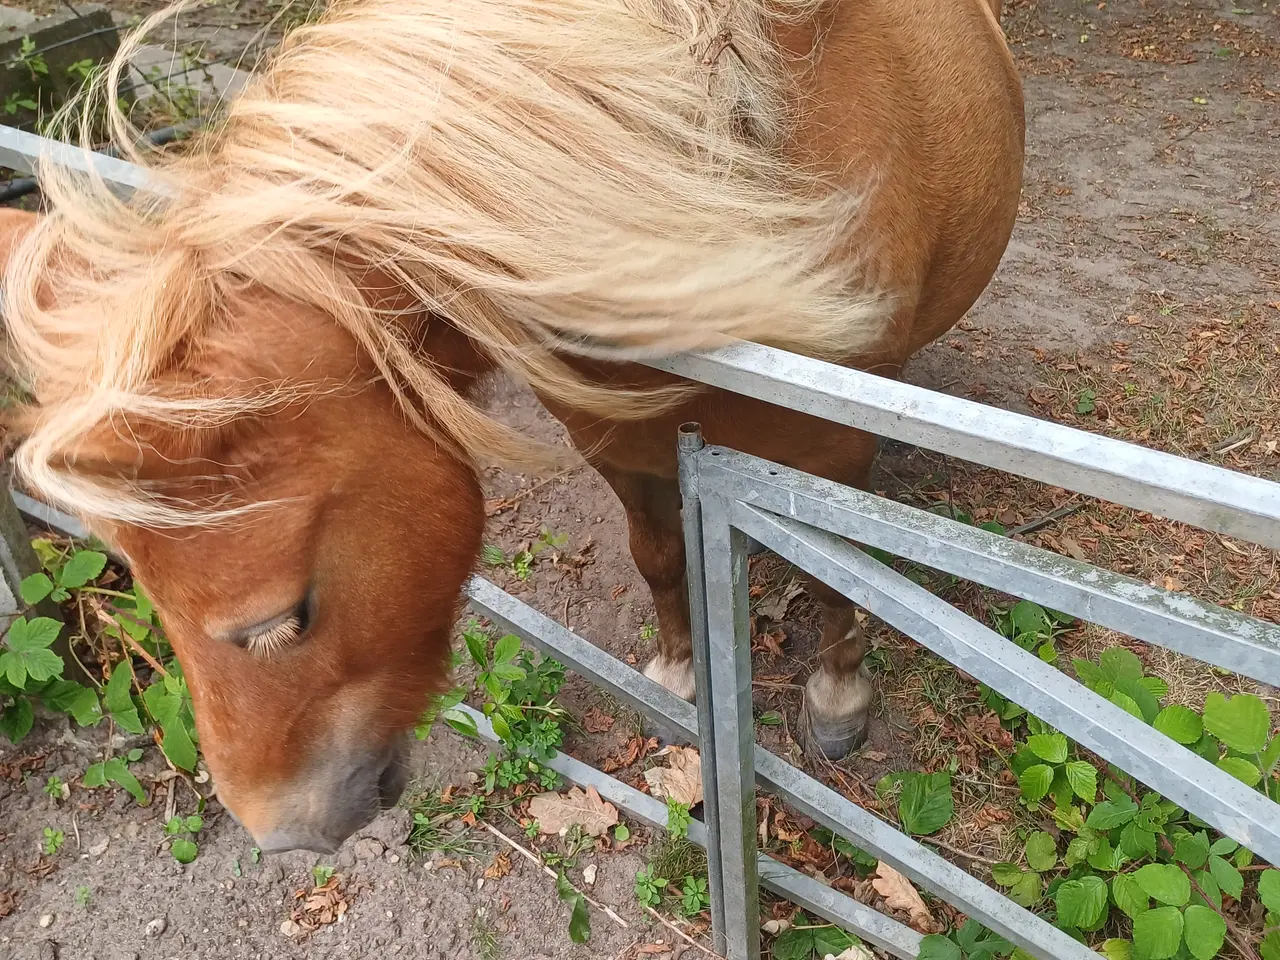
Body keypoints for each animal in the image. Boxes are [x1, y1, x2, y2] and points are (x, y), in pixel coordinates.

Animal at [0, 0, 1023, 854]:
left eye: (282, 619)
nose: (278, 832)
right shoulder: (619, 445)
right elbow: (658, 555)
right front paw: (677, 675)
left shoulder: (828, 450)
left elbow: (831, 578)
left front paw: (840, 697)